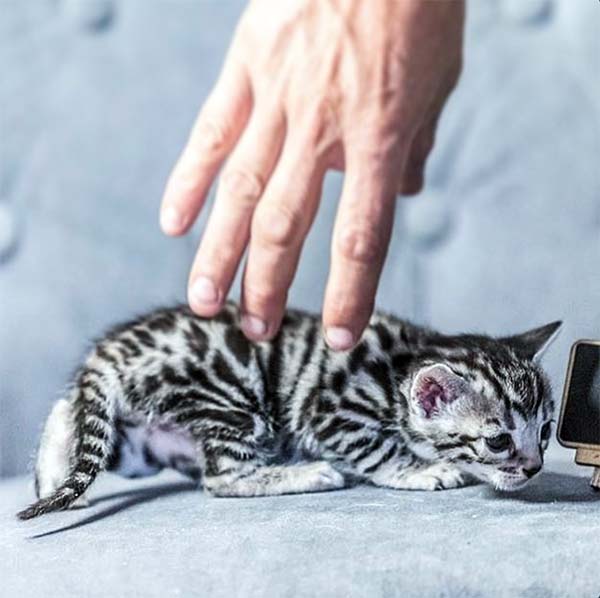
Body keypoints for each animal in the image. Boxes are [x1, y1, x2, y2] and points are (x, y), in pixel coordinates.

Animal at [18, 304, 564, 520]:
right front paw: (422, 470)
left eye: (546, 431)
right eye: (498, 440)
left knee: (69, 412)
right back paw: (306, 473)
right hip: (235, 399)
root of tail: (111, 353)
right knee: (222, 477)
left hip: (138, 441)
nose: (534, 467)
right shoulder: (331, 413)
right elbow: (379, 450)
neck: (398, 370)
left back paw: (53, 482)